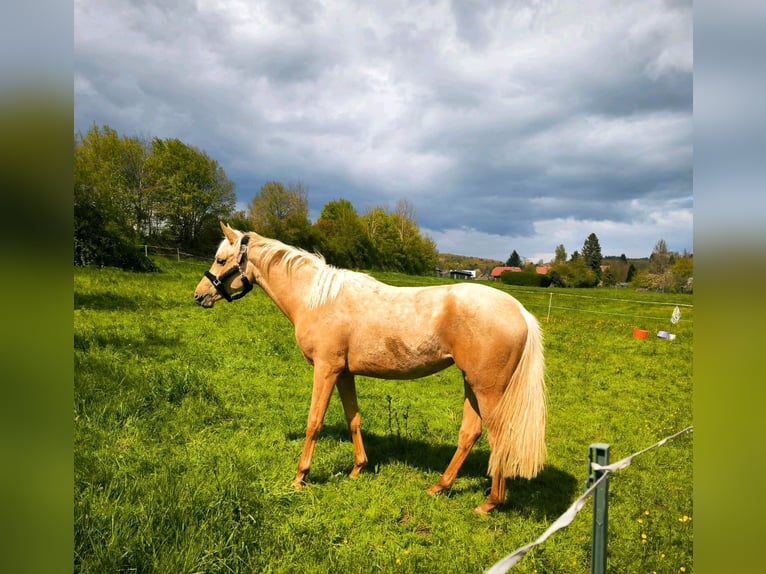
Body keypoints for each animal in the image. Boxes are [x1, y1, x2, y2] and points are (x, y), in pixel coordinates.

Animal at [195, 223, 548, 516]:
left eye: (221, 260)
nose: (200, 295)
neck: (316, 299)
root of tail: (520, 311)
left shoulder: (325, 369)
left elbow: (314, 422)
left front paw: (300, 477)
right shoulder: (344, 373)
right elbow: (353, 419)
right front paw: (357, 469)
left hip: (487, 390)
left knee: (499, 437)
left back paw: (490, 503)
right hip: (471, 385)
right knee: (470, 433)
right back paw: (439, 487)